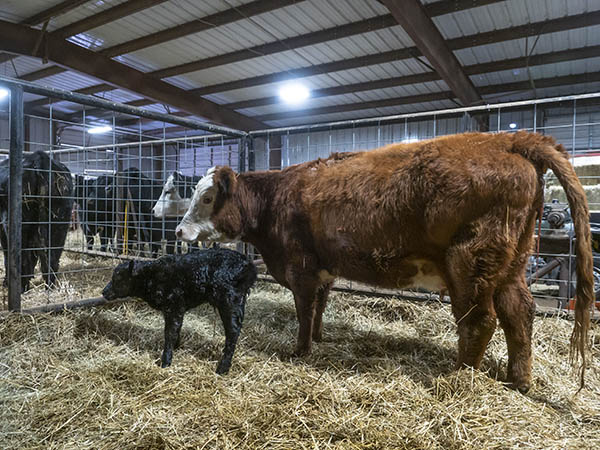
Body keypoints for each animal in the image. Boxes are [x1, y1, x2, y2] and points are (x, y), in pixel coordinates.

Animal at [102, 250, 256, 372]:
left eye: (118, 278)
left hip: (230, 301)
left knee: (233, 331)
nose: (103, 292)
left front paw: (165, 361)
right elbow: (176, 329)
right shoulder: (175, 309)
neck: (152, 276)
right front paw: (176, 347)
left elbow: (169, 333)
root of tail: (248, 263)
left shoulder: (174, 306)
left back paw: (223, 368)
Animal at [176, 131, 592, 394]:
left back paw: (460, 377)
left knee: (480, 320)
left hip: (470, 263)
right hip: (511, 264)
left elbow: (304, 311)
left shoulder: (301, 268)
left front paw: (299, 351)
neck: (277, 198)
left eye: (208, 198)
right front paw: (319, 338)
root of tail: (508, 139)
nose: (179, 230)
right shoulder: (325, 269)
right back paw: (518, 381)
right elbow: (319, 307)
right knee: (518, 312)